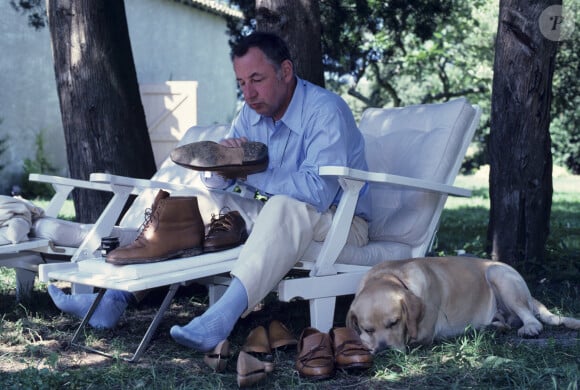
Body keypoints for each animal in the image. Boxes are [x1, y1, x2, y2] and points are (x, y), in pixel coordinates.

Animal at [346, 256, 576, 354]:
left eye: (394, 323)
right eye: (368, 328)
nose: (384, 351)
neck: (391, 276)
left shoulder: (424, 333)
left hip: (498, 275)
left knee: (530, 318)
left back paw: (528, 328)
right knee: (505, 321)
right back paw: (492, 326)